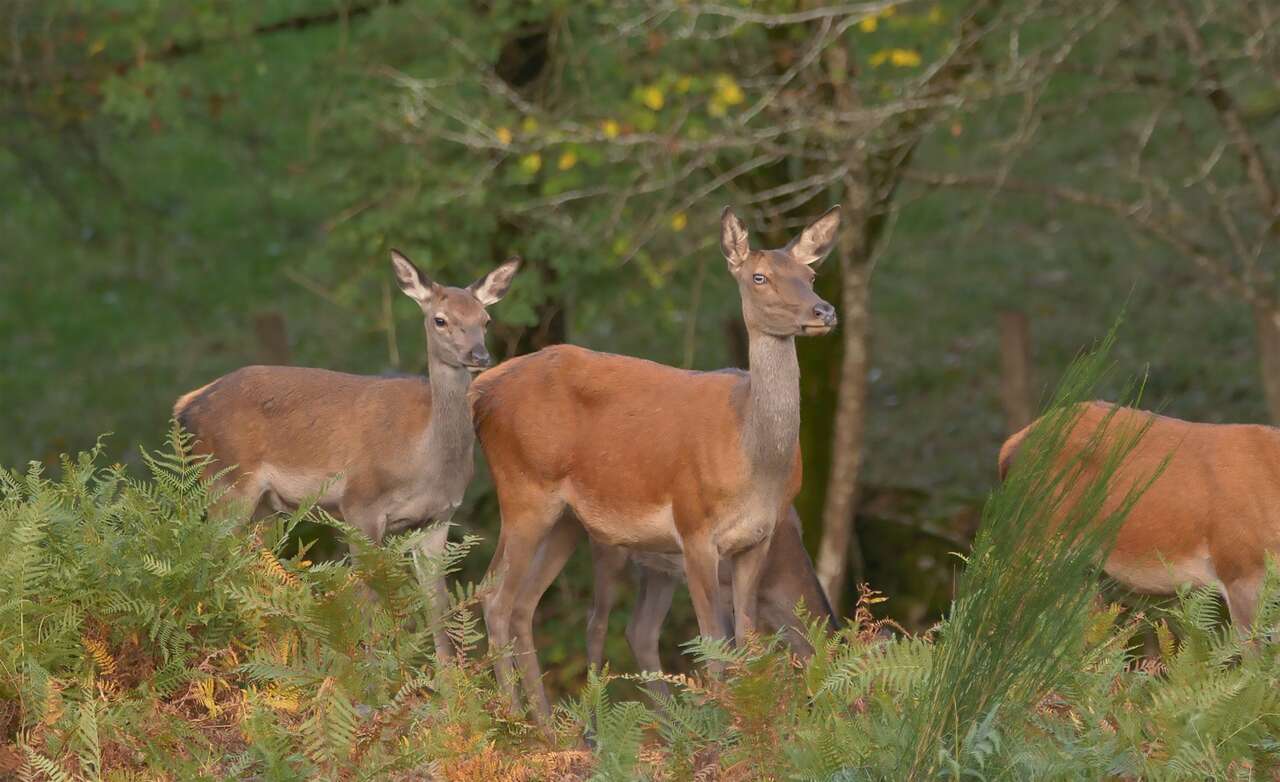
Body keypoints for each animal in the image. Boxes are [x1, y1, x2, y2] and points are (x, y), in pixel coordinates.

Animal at [172, 250, 517, 660]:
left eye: (485, 319)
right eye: (440, 319)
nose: (479, 355)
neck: (423, 459)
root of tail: (185, 404)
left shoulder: (438, 517)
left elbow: (437, 607)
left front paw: (448, 677)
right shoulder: (359, 504)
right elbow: (367, 601)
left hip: (261, 508)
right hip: (227, 484)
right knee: (209, 559)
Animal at [471, 206, 839, 716]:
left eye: (811, 274)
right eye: (759, 276)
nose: (823, 311)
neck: (753, 460)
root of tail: (480, 392)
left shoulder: (757, 538)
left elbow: (747, 644)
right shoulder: (694, 527)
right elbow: (713, 644)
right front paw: (718, 730)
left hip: (565, 520)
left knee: (523, 603)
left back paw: (548, 724)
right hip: (524, 490)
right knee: (495, 597)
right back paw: (517, 720)